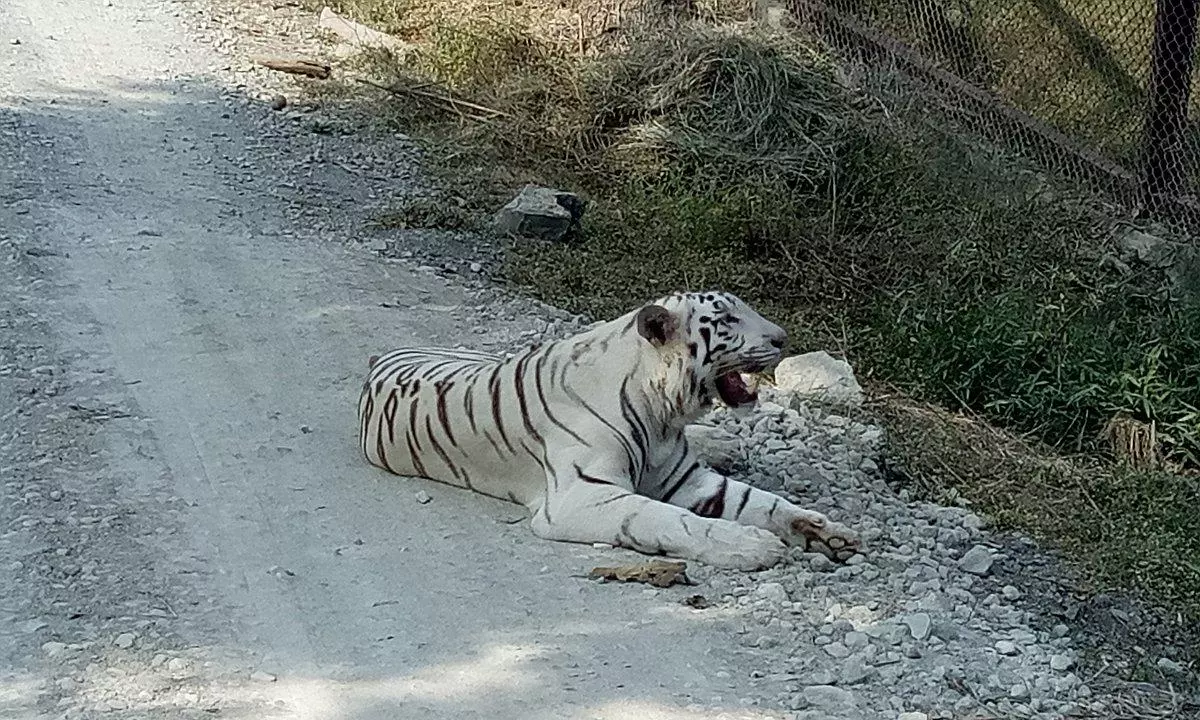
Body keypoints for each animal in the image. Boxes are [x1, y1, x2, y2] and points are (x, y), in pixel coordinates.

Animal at [357, 291, 864, 568]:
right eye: (726, 320)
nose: (783, 338)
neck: (664, 414)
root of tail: (387, 353)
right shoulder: (581, 495)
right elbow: (669, 520)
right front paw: (751, 546)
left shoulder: (689, 479)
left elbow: (763, 503)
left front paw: (830, 533)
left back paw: (724, 441)